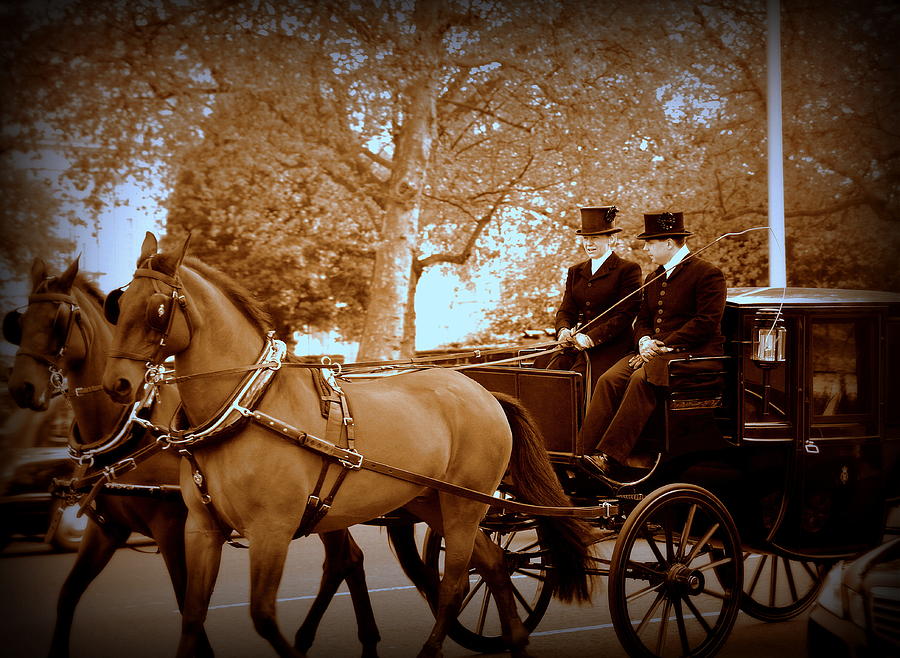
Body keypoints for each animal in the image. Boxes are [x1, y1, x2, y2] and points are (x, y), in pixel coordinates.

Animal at [1, 258, 382, 656]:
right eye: (18, 325)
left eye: (57, 322)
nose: (21, 387)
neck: (130, 424)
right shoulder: (107, 528)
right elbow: (68, 595)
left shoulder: (170, 526)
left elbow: (186, 600)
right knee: (347, 560)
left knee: (343, 560)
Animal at [100, 232, 596, 656]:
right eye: (118, 306)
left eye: (158, 310)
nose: (117, 384)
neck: (245, 407)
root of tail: (485, 392)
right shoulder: (202, 530)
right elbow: (192, 615)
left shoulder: (272, 529)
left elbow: (263, 616)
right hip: (432, 501)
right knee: (493, 564)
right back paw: (516, 641)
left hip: (466, 504)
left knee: (454, 583)